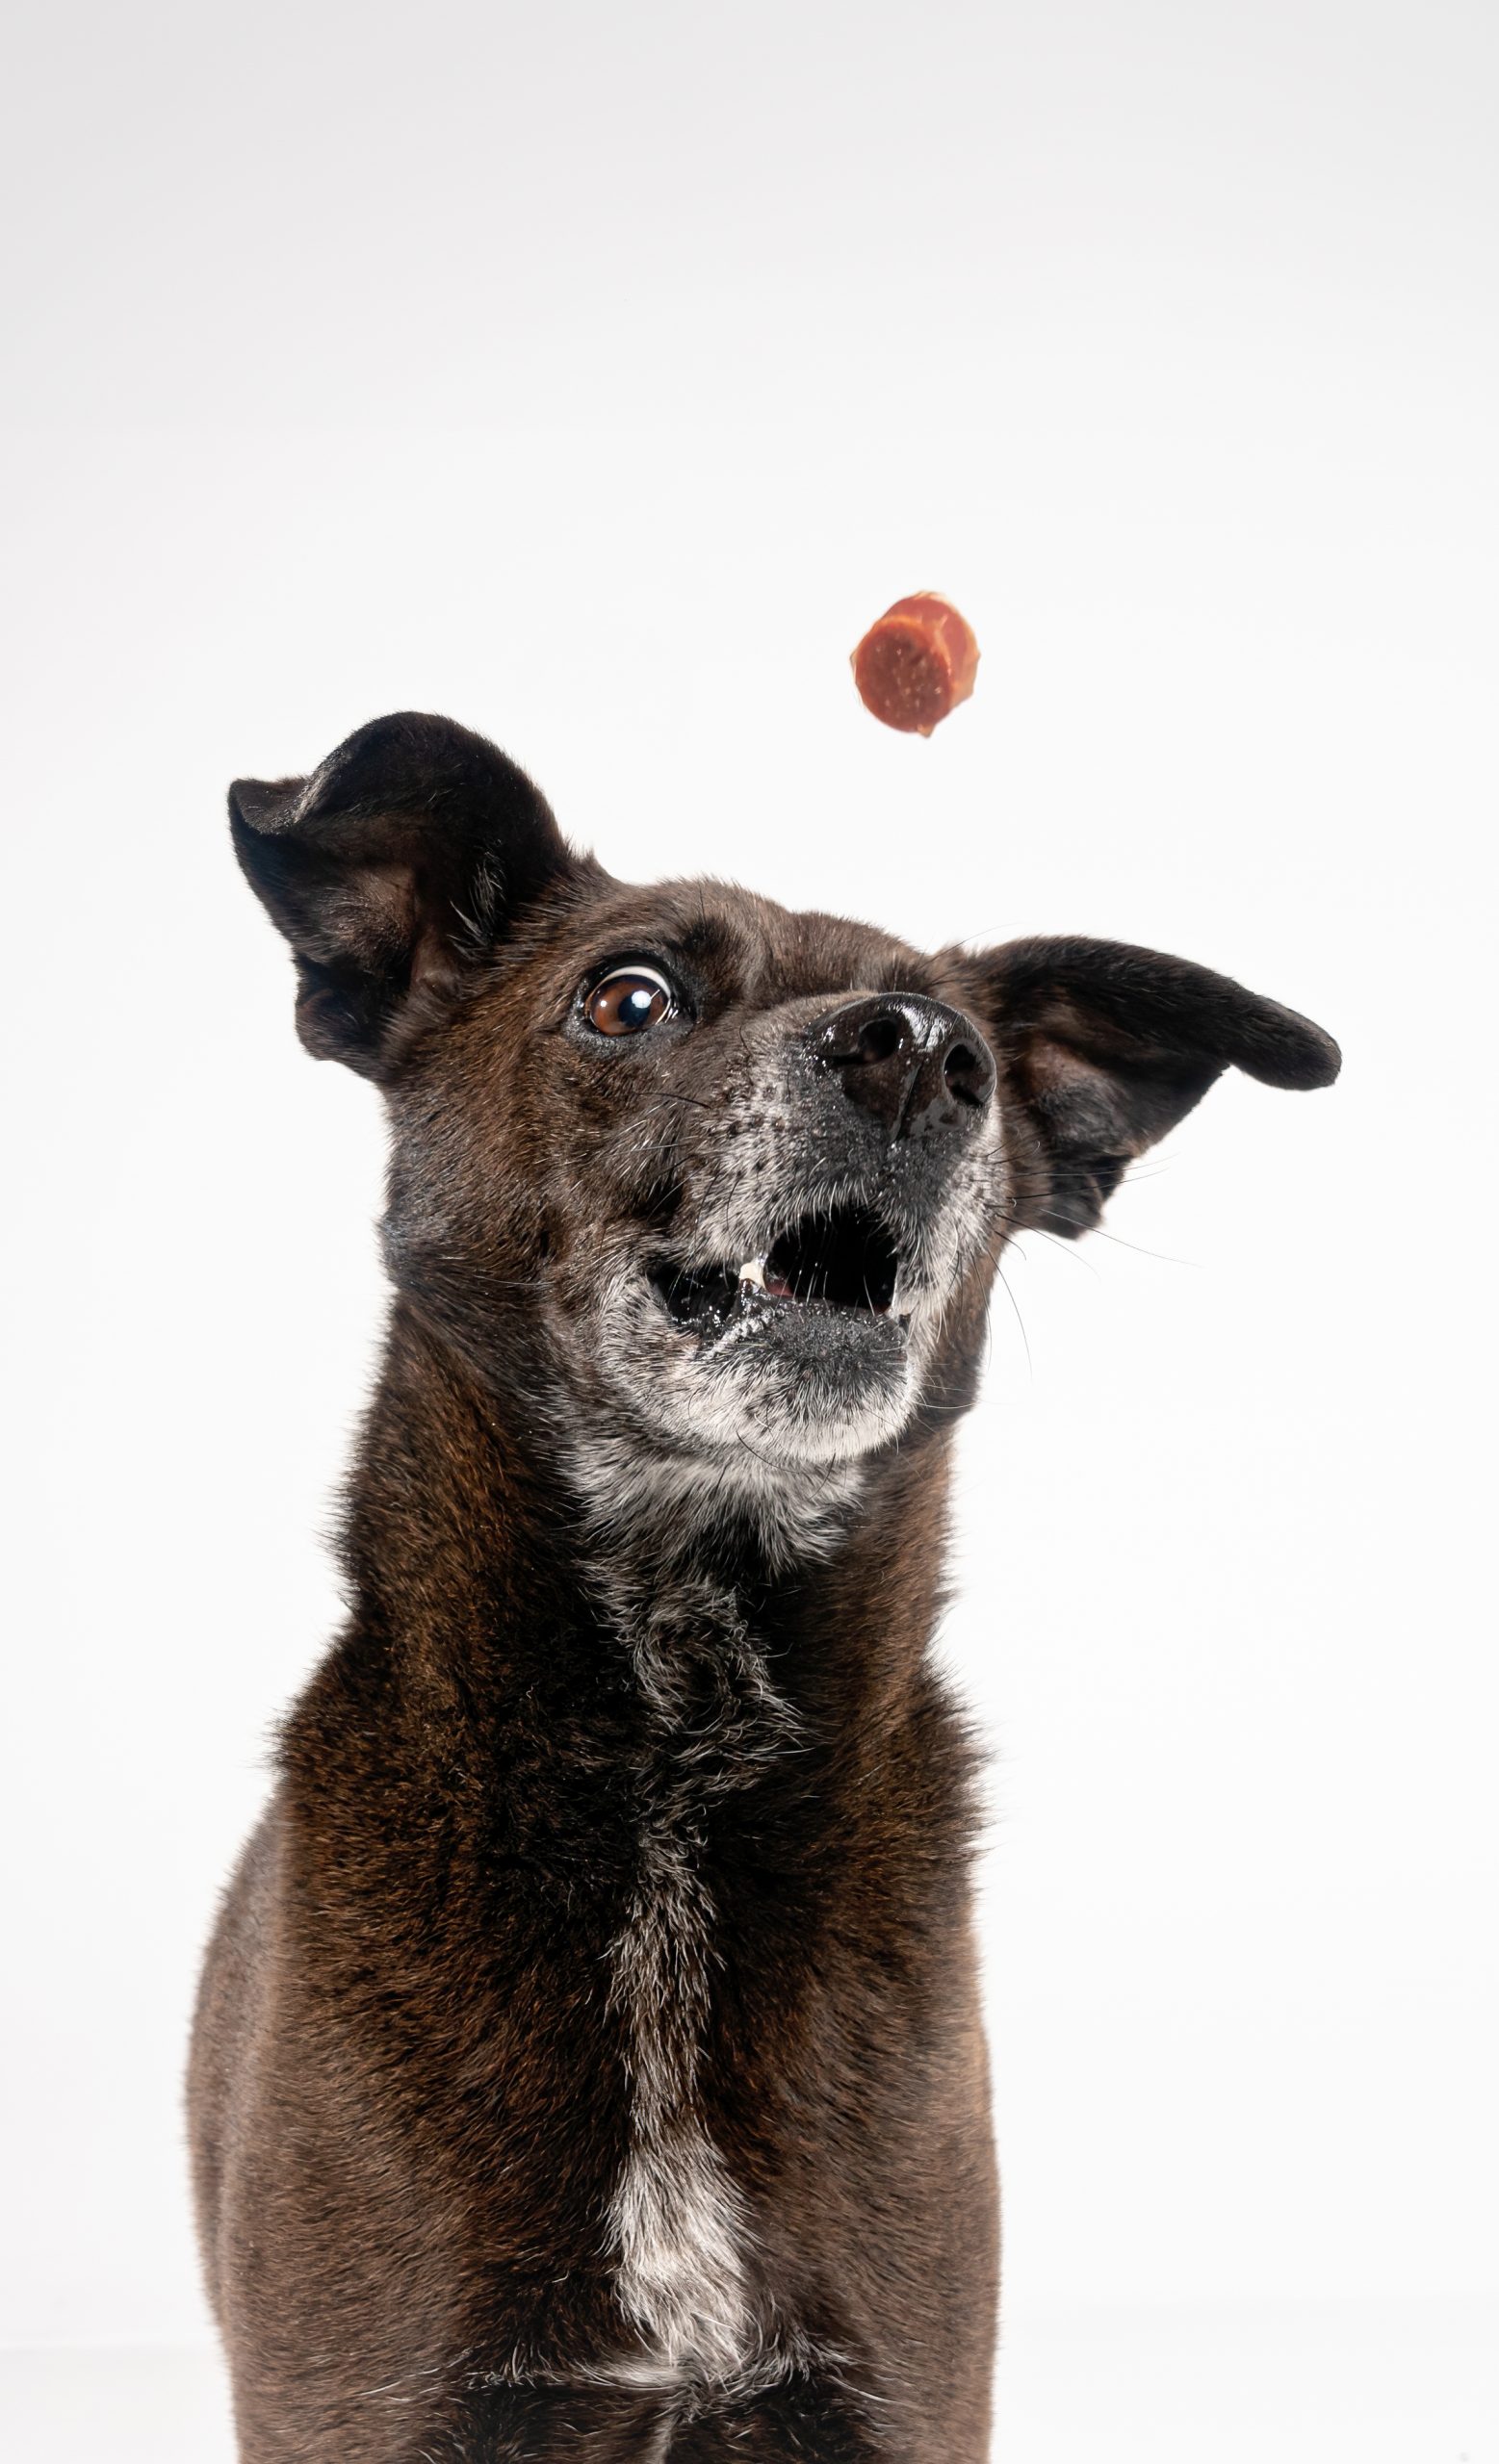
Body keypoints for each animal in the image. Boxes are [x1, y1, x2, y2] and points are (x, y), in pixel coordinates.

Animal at [185, 705, 1331, 2453]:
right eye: (629, 996)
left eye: (974, 1060)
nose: (924, 1055)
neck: (674, 1758)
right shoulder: (374, 2398)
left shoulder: (892, 2395)